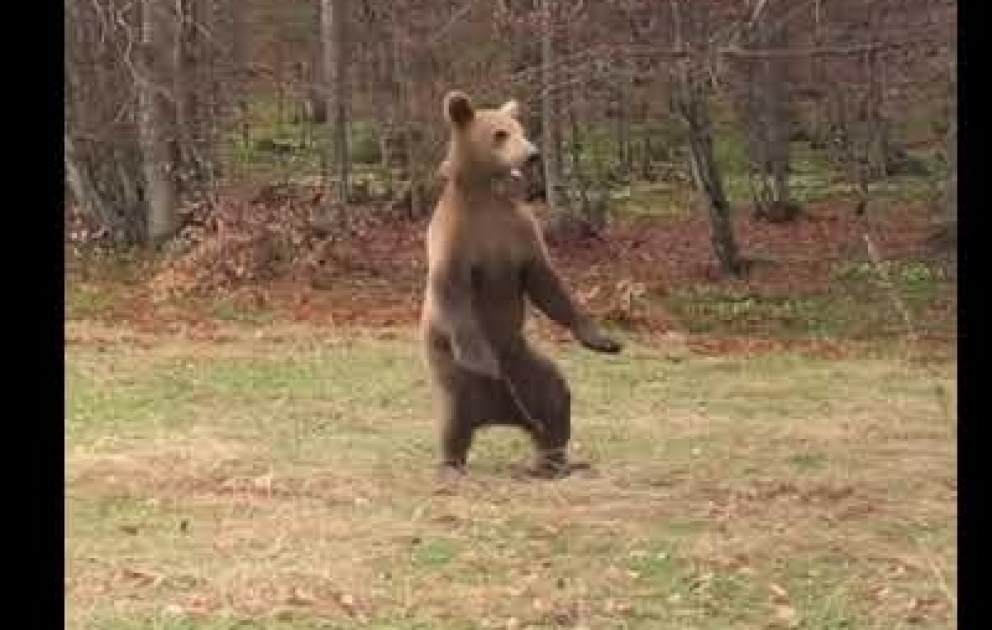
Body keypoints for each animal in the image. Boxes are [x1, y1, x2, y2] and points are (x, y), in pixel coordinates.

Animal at [420, 90, 623, 481]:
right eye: (500, 133)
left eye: (521, 129)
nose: (532, 154)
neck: (487, 195)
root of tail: (498, 413)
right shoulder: (458, 241)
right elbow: (453, 293)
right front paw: (482, 358)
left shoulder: (519, 235)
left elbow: (548, 285)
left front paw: (604, 340)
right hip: (452, 371)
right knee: (454, 418)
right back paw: (451, 465)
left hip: (524, 363)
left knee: (555, 401)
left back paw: (555, 462)